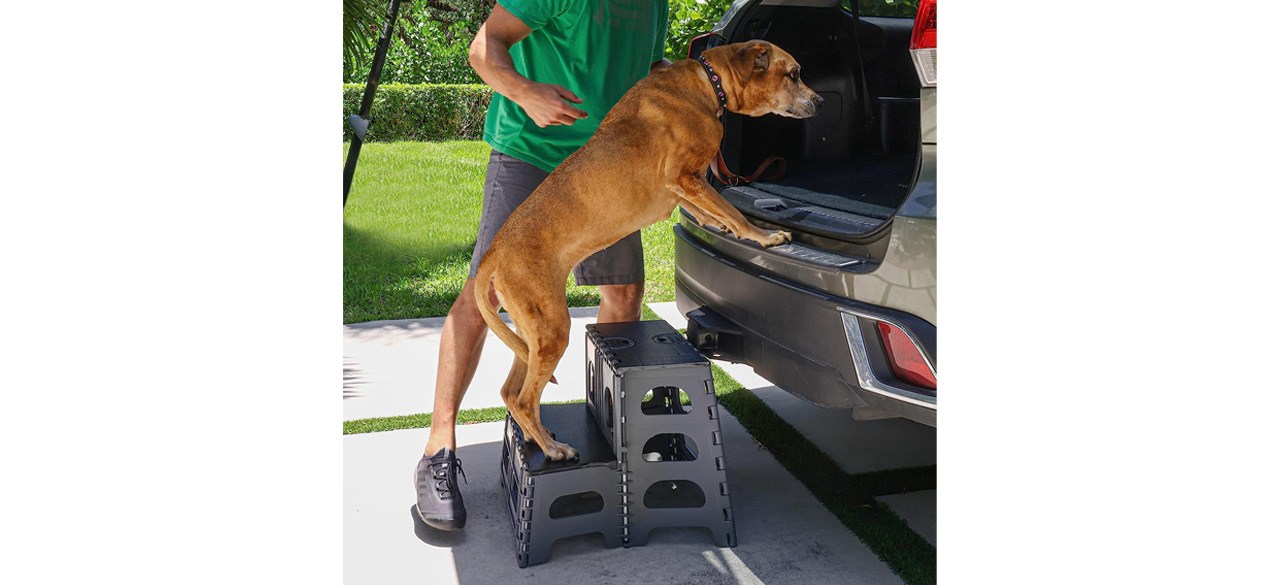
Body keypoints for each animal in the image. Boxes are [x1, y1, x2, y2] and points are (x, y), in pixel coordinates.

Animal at [478, 40, 819, 460]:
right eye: (793, 74)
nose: (820, 101)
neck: (709, 83)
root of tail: (495, 250)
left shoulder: (681, 187)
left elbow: (709, 210)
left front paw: (720, 226)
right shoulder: (684, 176)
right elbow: (733, 212)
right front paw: (762, 235)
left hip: (531, 335)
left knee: (511, 392)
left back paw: (533, 438)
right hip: (552, 328)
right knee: (525, 399)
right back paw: (554, 448)